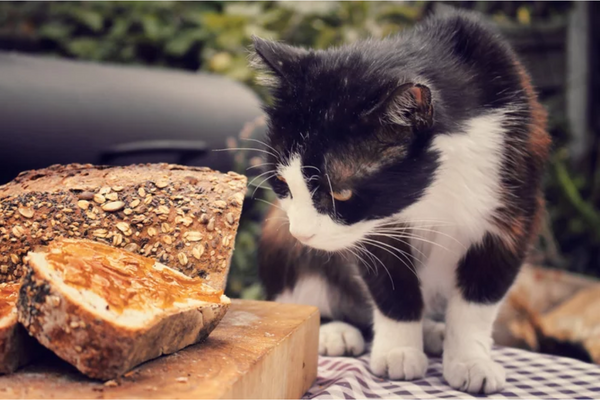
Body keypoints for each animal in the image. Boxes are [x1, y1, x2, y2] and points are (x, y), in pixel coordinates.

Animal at [251, 7, 552, 396]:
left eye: (341, 193)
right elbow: (391, 282)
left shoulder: (516, 202)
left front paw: (470, 359)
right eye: (281, 183)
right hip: (278, 232)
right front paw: (399, 351)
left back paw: (434, 331)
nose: (302, 234)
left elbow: (479, 297)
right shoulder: (374, 229)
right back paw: (334, 330)